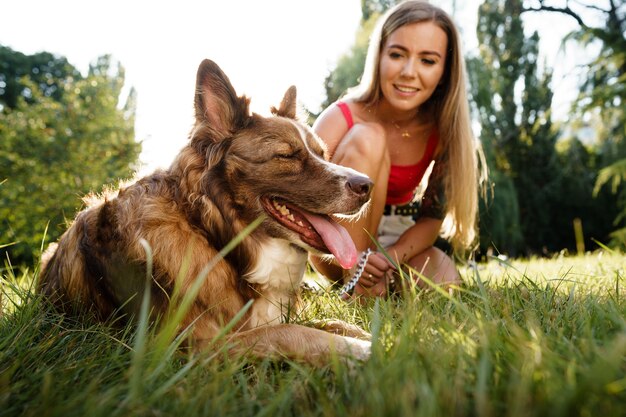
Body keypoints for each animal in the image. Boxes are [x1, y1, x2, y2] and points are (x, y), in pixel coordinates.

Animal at [39, 57, 370, 364]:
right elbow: (291, 332)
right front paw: (361, 349)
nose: (367, 185)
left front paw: (365, 334)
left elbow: (325, 322)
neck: (215, 236)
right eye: (287, 156)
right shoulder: (191, 348)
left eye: (322, 154)